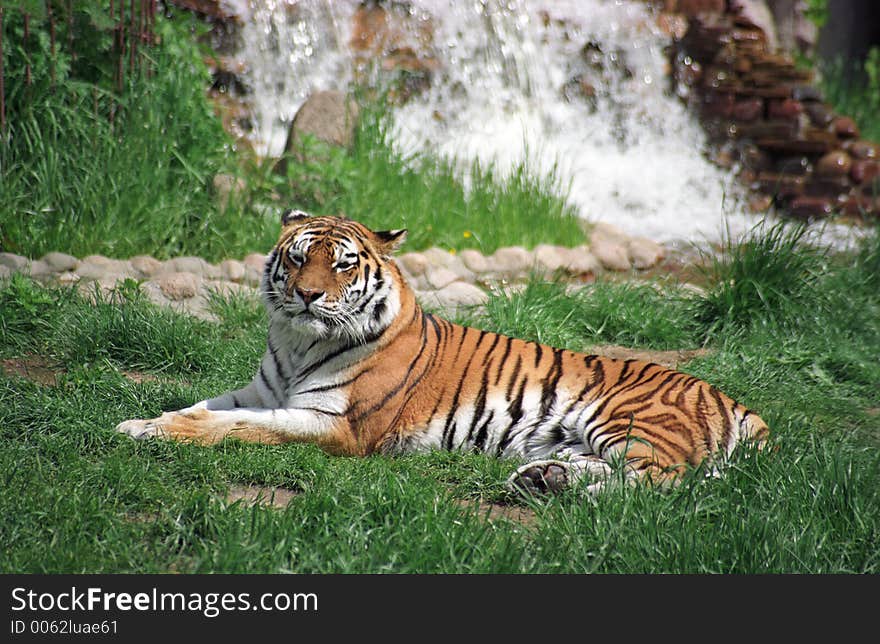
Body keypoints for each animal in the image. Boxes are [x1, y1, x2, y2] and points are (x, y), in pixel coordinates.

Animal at [117, 210, 768, 494]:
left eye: (343, 264)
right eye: (299, 257)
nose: (307, 295)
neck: (299, 341)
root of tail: (730, 398)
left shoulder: (336, 425)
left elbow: (237, 427)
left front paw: (153, 431)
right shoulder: (261, 390)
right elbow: (208, 407)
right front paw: (145, 420)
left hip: (628, 418)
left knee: (663, 482)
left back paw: (574, 492)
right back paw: (545, 479)